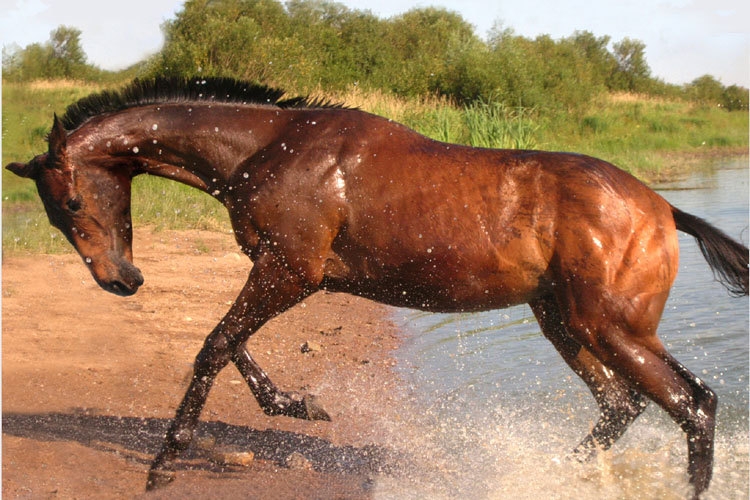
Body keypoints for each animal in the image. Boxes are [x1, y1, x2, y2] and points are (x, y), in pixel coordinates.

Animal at [4, 76, 748, 498]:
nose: (120, 281)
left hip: (610, 325)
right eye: (55, 213)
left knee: (694, 403)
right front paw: (300, 405)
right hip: (563, 322)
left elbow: (214, 345)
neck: (267, 146)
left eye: (71, 202)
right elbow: (231, 344)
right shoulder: (275, 269)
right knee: (622, 405)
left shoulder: (289, 271)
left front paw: (165, 463)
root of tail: (662, 208)